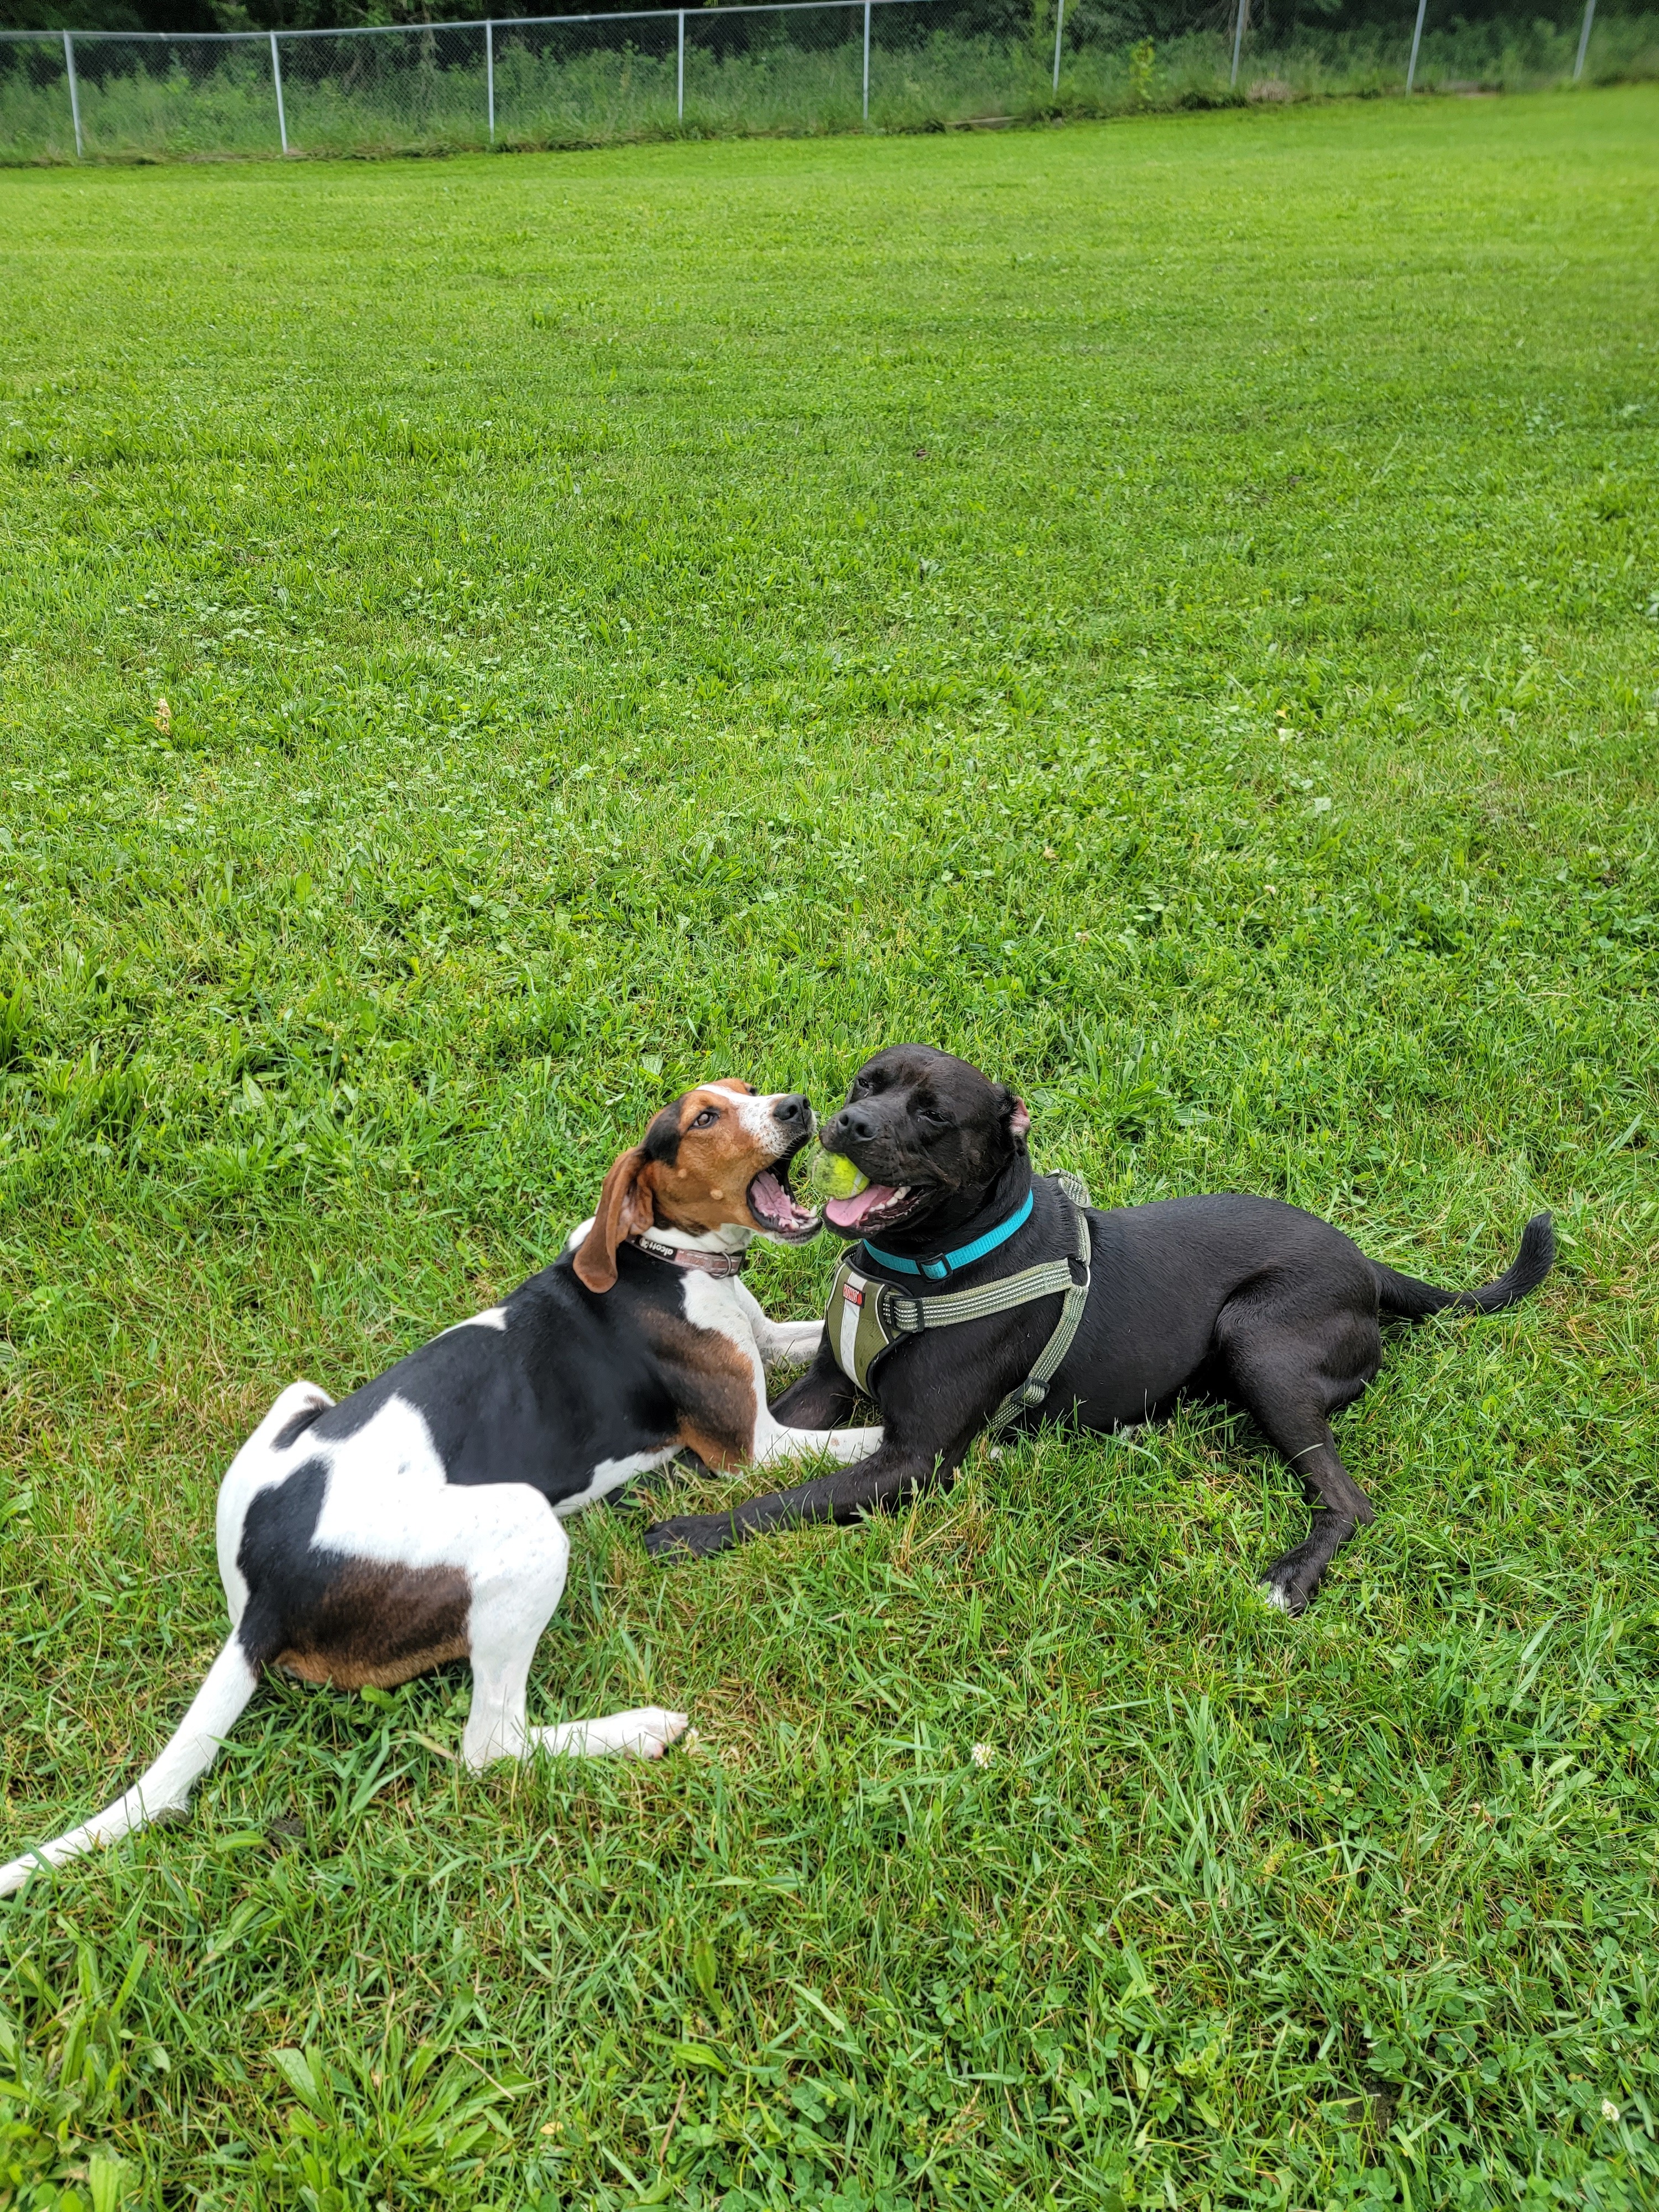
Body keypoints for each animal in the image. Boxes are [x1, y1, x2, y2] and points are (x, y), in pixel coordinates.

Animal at [3, 1079, 885, 1893]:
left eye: (746, 1092)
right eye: (705, 1118)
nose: (798, 1106)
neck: (664, 1256)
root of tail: (265, 1602)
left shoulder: (766, 1345)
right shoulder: (752, 1448)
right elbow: (869, 1442)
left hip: (297, 1400)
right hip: (526, 1525)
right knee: (494, 1746)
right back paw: (639, 1730)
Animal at [650, 1040, 1557, 1610]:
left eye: (935, 1114)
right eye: (865, 1084)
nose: (848, 1124)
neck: (924, 1262)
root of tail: (1368, 1267)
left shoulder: (915, 1460)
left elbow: (783, 1502)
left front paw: (689, 1533)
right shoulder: (824, 1392)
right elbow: (742, 1454)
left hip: (1260, 1343)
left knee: (1350, 1502)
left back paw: (1292, 1576)